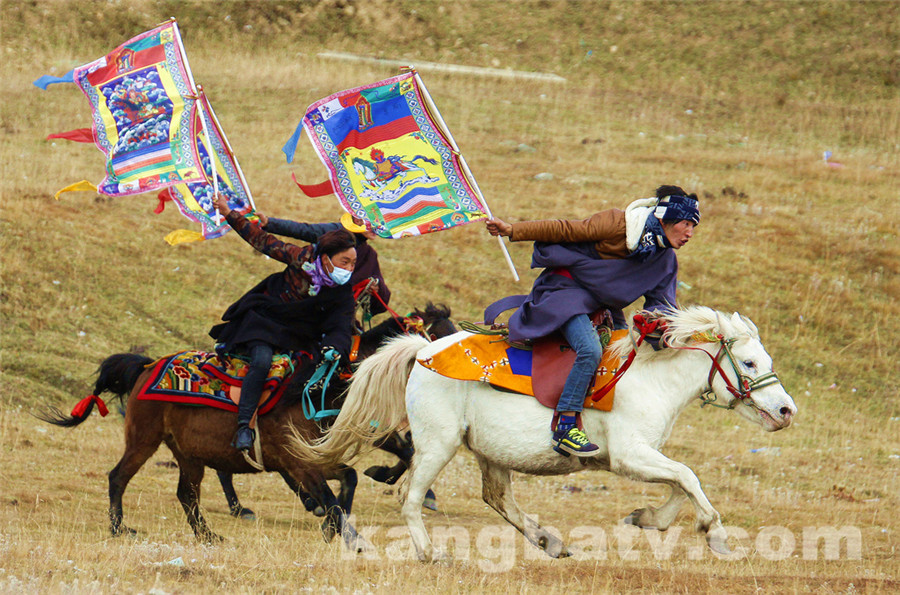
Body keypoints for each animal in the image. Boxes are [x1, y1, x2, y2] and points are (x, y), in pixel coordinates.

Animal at [288, 308, 796, 564]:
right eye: (749, 362)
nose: (786, 411)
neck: (651, 378)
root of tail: (421, 352)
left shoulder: (645, 455)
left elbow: (679, 483)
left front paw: (648, 518)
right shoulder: (629, 456)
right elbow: (688, 477)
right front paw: (717, 535)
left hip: (489, 452)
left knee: (497, 498)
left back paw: (547, 540)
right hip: (438, 445)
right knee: (410, 497)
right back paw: (431, 553)